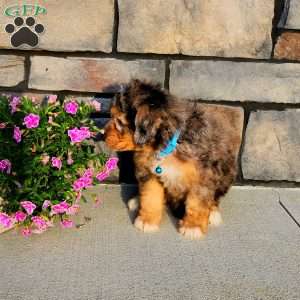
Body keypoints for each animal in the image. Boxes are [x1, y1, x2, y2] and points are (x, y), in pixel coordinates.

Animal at [104, 79, 243, 239]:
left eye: (120, 122)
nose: (102, 134)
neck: (164, 145)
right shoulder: (149, 173)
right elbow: (150, 196)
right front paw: (147, 221)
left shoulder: (204, 175)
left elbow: (197, 202)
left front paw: (192, 227)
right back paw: (137, 200)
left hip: (228, 170)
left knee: (215, 197)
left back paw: (213, 213)